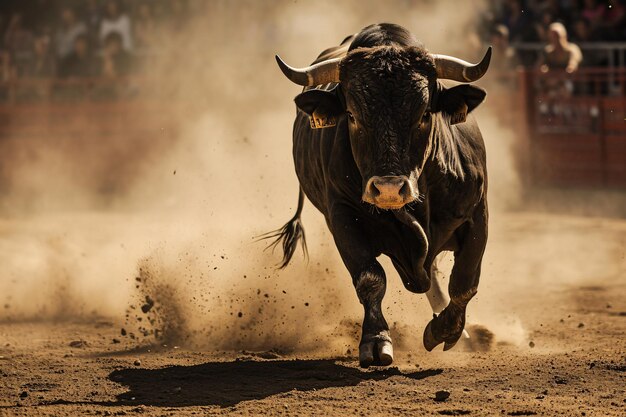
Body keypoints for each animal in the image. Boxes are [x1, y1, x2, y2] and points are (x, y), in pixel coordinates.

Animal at [260, 23, 490, 368]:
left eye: (425, 113)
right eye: (352, 115)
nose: (390, 188)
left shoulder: (477, 213)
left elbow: (464, 282)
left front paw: (445, 331)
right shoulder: (342, 216)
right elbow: (370, 278)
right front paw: (376, 340)